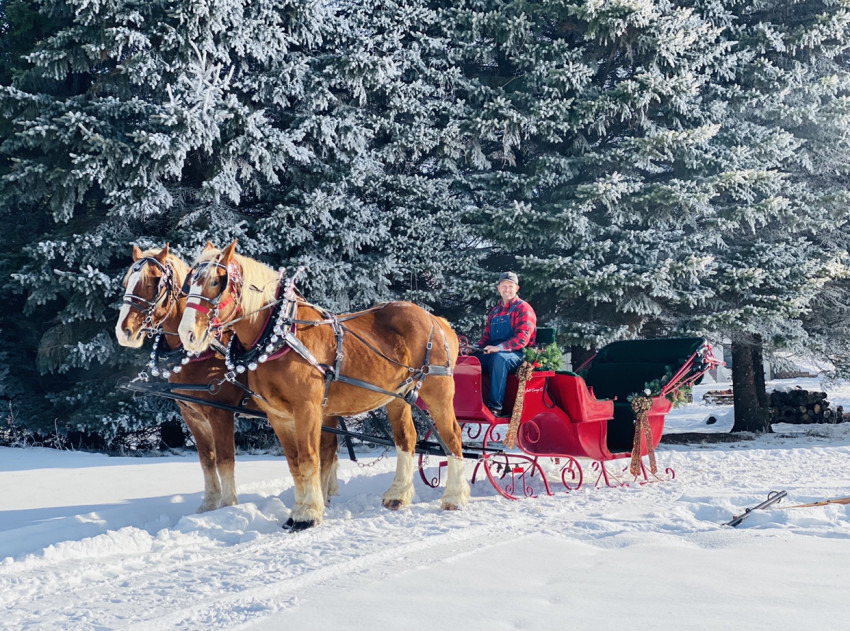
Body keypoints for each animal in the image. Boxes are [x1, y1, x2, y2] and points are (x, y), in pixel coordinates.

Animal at [115, 244, 340, 512]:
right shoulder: (192, 415)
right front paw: (209, 505)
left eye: (154, 282)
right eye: (126, 282)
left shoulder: (220, 412)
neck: (200, 353)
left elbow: (224, 458)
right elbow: (207, 459)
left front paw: (227, 504)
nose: (124, 332)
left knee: (328, 448)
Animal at [177, 240, 470, 530]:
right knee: (406, 438)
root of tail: (436, 320)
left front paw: (308, 514)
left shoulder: (307, 408)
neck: (279, 335)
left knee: (452, 436)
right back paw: (398, 495)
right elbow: (294, 463)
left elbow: (309, 458)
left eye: (216, 281)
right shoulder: (278, 415)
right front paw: (299, 510)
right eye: (189, 283)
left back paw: (454, 497)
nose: (187, 333)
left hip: (438, 390)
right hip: (398, 396)